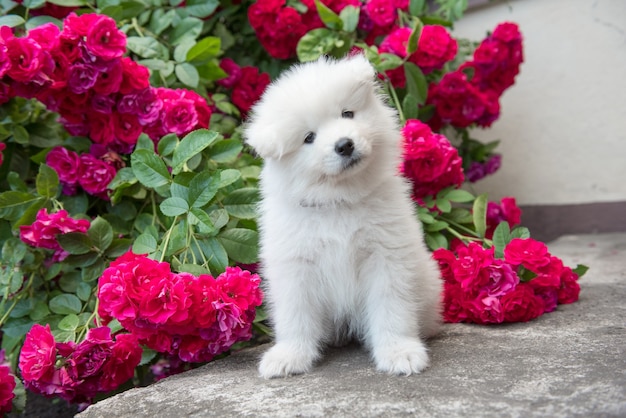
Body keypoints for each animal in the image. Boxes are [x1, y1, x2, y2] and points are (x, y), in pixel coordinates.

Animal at [241, 53, 442, 378]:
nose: (344, 144)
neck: (338, 200)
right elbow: (295, 315)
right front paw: (289, 355)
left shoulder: (386, 257)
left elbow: (392, 307)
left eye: (347, 114)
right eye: (309, 137)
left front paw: (399, 352)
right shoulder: (295, 266)